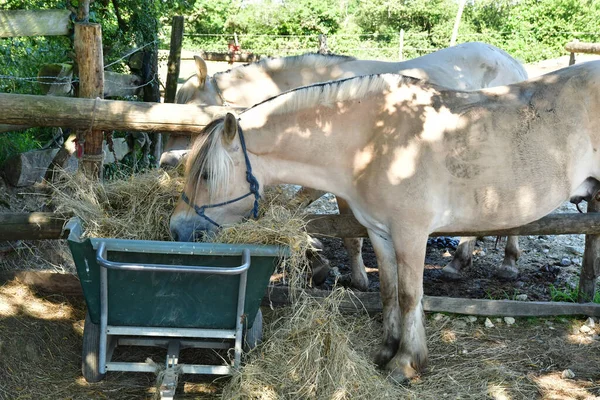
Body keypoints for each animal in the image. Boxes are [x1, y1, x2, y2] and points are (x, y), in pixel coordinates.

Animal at [165, 42, 528, 290]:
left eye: (188, 114)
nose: (166, 161)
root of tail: (514, 63)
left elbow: (343, 230)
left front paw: (349, 275)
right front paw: (317, 257)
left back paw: (501, 263)